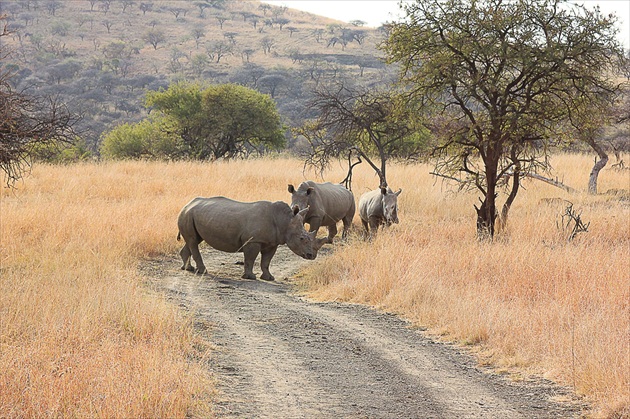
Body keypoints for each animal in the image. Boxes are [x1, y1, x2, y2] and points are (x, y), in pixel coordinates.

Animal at [177, 197, 328, 282]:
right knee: (193, 241)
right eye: (302, 238)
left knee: (193, 240)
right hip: (187, 214)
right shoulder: (253, 240)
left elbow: (266, 261)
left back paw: (188, 268)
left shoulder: (272, 243)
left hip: (192, 215)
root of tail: (187, 204)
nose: (312, 256)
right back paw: (202, 271)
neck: (285, 221)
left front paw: (269, 278)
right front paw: (250, 277)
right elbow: (250, 258)